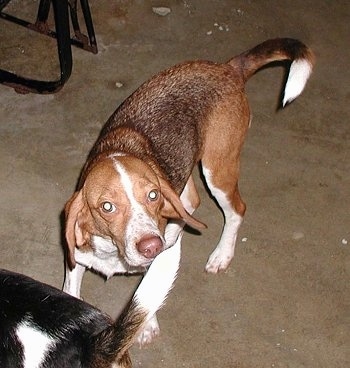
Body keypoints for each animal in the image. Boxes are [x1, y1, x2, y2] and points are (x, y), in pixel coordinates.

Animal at [63, 39, 314, 344]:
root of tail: (228, 68)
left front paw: (146, 324)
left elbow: (147, 292)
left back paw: (220, 254)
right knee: (190, 201)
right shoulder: (76, 261)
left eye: (153, 195)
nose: (152, 246)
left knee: (236, 210)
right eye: (107, 207)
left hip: (217, 169)